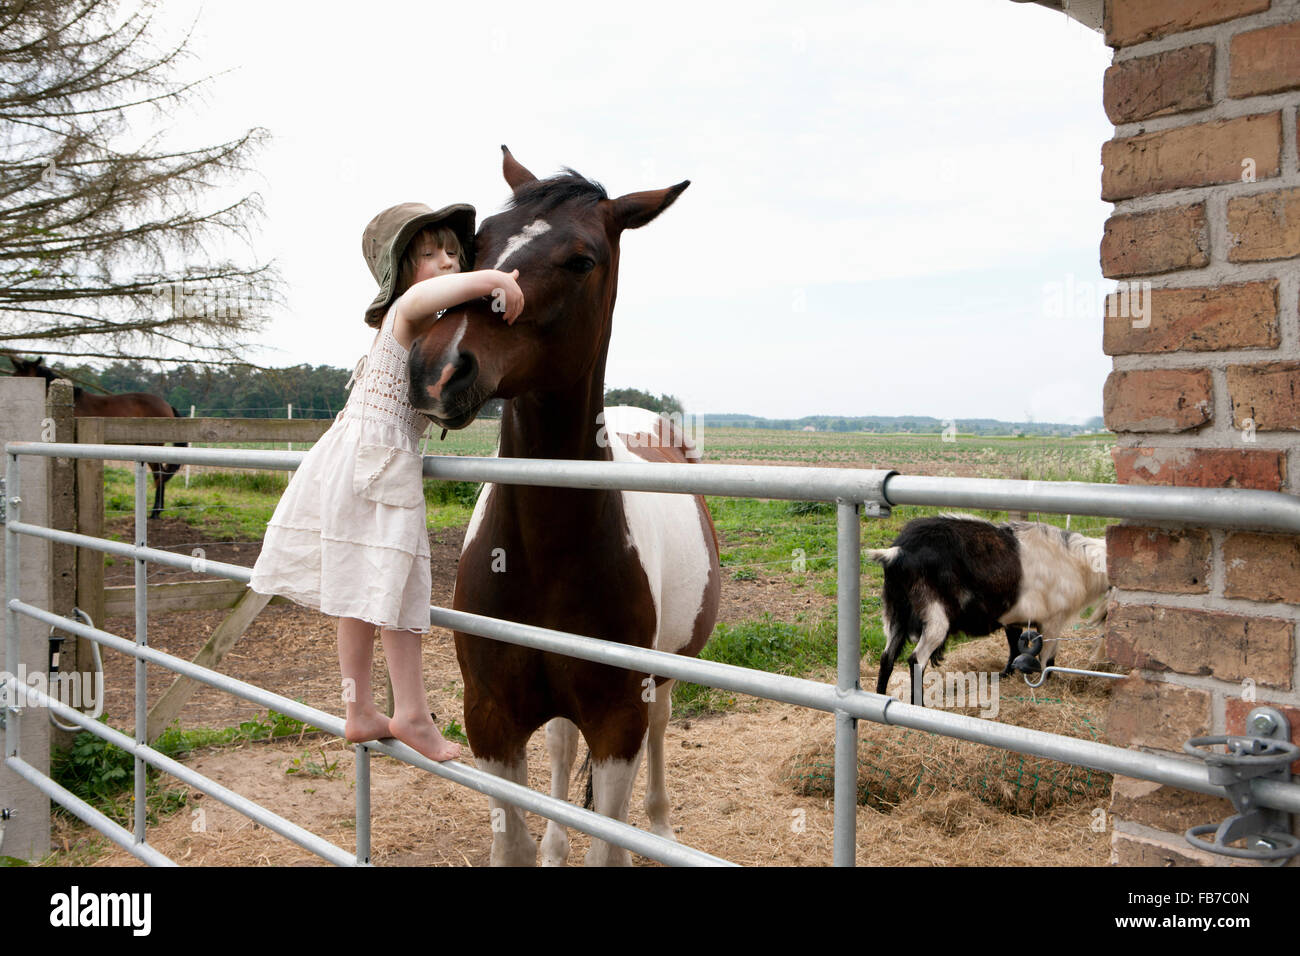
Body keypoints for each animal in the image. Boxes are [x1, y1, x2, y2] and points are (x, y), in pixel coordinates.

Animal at [408, 147, 721, 866]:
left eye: (581, 260)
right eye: (477, 244)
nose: (437, 369)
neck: (545, 553)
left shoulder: (617, 722)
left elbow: (609, 840)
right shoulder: (490, 719)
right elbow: (514, 843)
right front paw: (544, 846)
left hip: (662, 682)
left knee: (661, 730)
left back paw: (661, 828)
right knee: (558, 742)